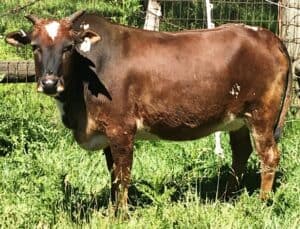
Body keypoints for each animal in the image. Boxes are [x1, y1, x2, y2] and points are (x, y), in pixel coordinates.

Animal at [5, 11, 292, 214]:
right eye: (34, 46)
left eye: (67, 47)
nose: (49, 83)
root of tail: (268, 36)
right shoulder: (107, 134)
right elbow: (113, 175)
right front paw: (113, 209)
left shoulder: (121, 129)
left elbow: (123, 175)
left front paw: (121, 215)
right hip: (238, 120)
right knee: (241, 153)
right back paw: (227, 197)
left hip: (261, 115)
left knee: (269, 156)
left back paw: (261, 203)